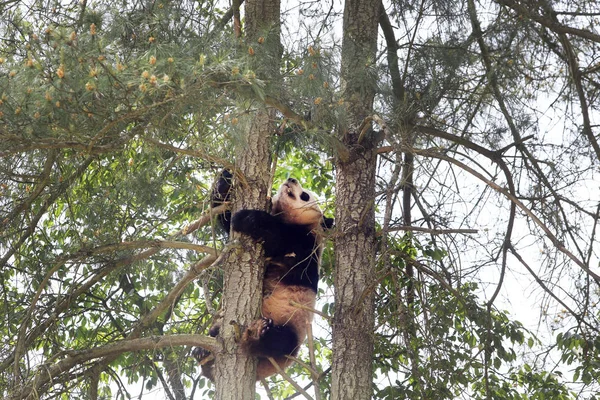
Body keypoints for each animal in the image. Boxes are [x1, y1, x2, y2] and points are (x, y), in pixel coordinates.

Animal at [193, 171, 330, 382]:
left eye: (305, 195)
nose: (291, 179)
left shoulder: (306, 245)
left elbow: (278, 240)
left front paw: (247, 217)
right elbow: (226, 221)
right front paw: (225, 181)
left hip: (294, 326)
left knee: (282, 341)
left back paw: (259, 334)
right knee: (215, 331)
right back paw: (202, 352)